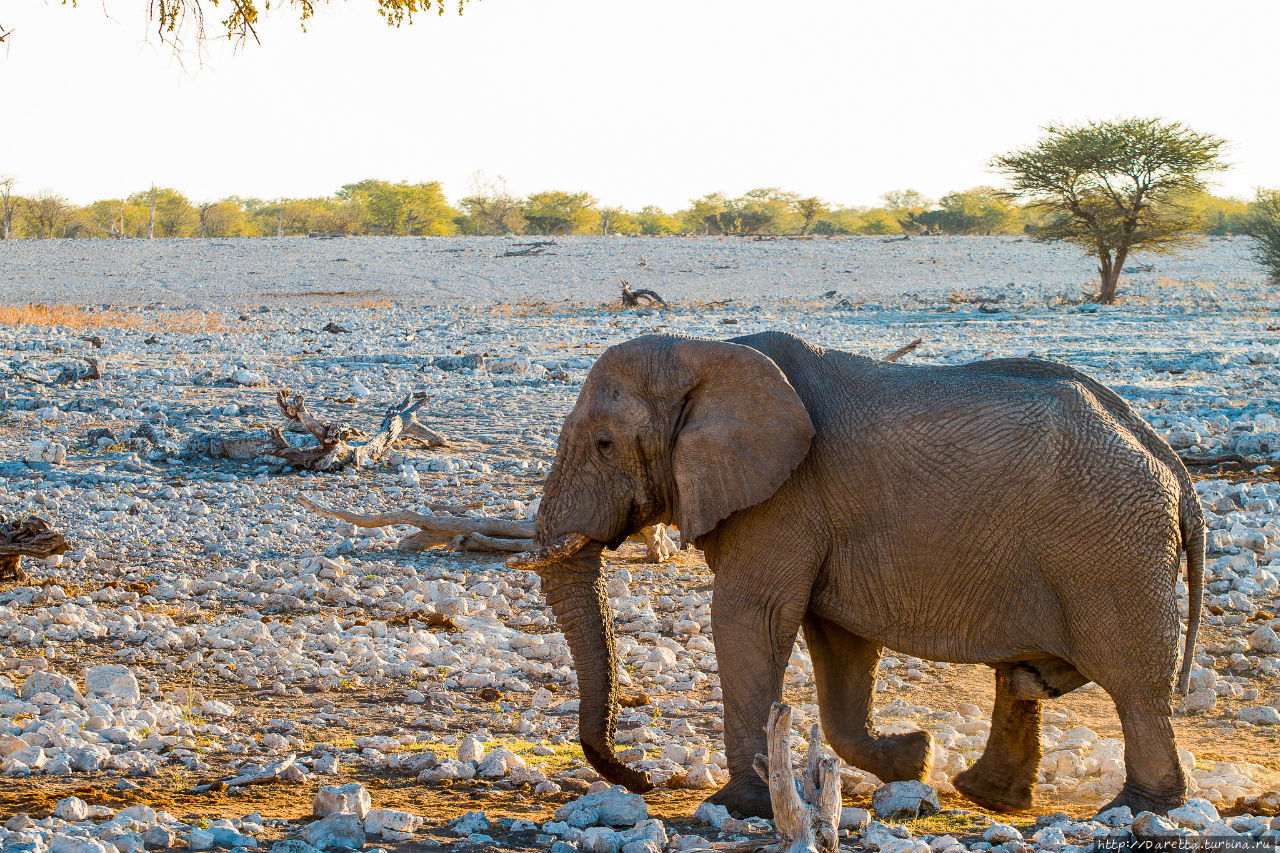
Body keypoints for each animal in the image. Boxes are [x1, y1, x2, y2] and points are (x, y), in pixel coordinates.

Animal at [504, 330, 1203, 819]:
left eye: (603, 445)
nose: (644, 780)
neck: (703, 353)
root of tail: (1172, 465)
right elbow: (836, 639)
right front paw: (913, 759)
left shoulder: (783, 499)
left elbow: (750, 619)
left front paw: (739, 805)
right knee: (1024, 675)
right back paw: (989, 795)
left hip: (1110, 550)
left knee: (1133, 683)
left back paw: (1138, 808)